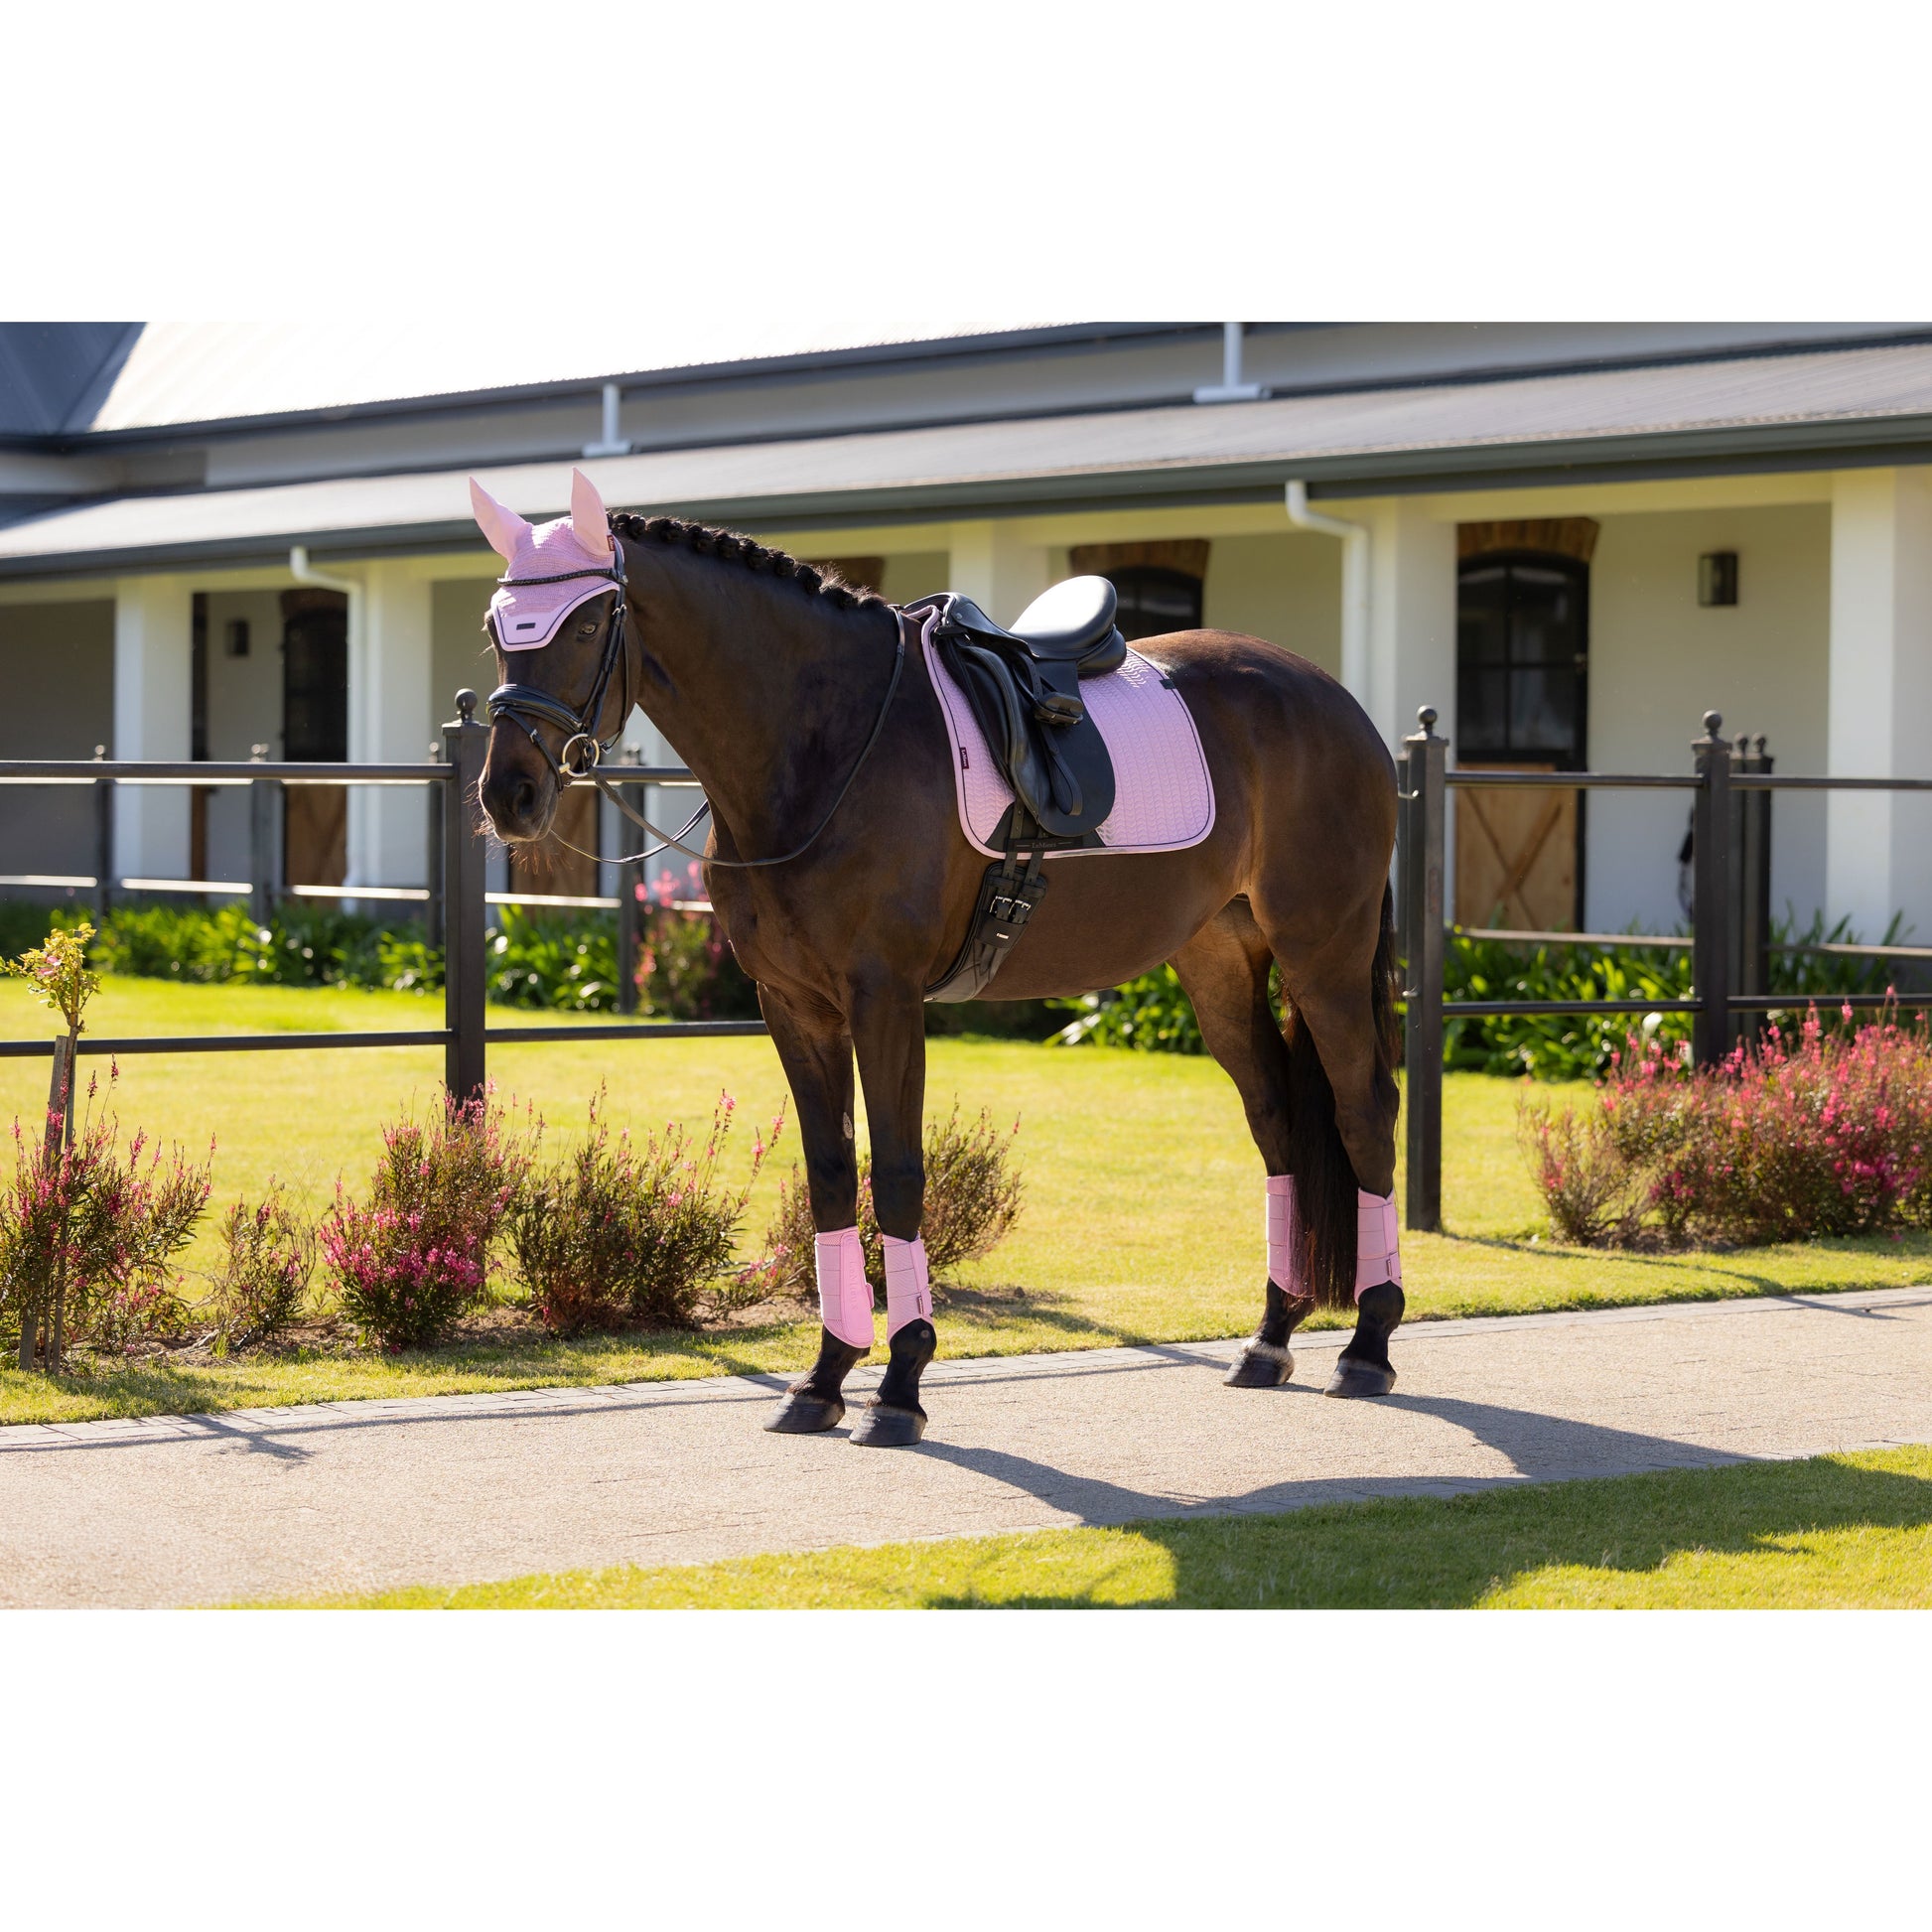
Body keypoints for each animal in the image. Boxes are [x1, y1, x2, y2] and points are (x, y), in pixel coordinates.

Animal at [471, 468, 1404, 1446]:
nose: (509, 794)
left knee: (1364, 1111)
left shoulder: (885, 998)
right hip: (1218, 963)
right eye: (499, 629)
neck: (826, 741)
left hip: (1325, 954)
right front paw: (824, 1377)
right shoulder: (792, 1003)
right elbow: (832, 1176)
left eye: (585, 623)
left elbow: (899, 1175)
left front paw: (900, 1384)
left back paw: (1368, 1344)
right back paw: (1270, 1336)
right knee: (1277, 1119)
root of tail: (1335, 702)